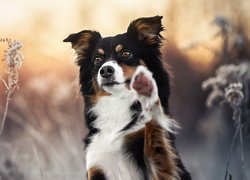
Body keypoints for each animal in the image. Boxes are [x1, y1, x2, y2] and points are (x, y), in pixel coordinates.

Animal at [63, 15, 190, 180]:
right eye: (97, 59)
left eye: (125, 53)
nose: (105, 70)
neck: (117, 102)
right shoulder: (96, 164)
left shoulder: (159, 169)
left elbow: (153, 140)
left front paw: (147, 91)